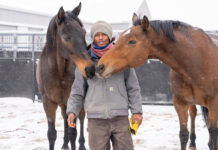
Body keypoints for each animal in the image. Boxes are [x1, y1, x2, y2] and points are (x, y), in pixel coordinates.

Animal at [36, 2, 95, 149]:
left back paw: (81, 145)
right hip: (63, 103)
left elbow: (73, 132)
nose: (90, 69)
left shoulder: (72, 99)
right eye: (66, 37)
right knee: (64, 118)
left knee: (81, 119)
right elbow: (52, 134)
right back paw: (64, 143)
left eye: (83, 33)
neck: (58, 71)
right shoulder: (48, 102)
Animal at [96, 14, 217, 150]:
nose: (100, 67)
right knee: (193, 113)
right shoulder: (180, 103)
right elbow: (183, 134)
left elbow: (214, 133)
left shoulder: (214, 103)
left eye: (132, 41)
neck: (197, 59)